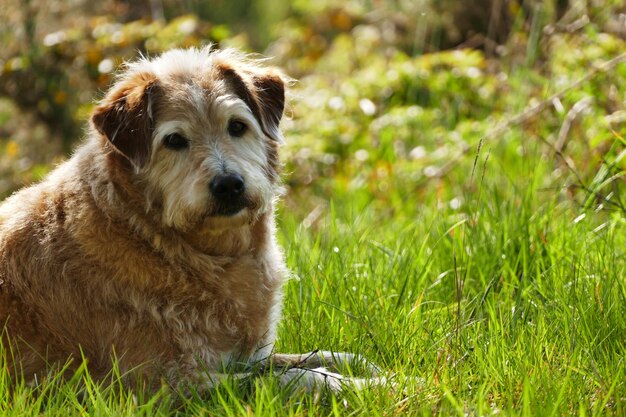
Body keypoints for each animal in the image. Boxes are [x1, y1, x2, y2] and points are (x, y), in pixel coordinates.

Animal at [0, 46, 380, 394]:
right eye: (174, 140)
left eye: (237, 126)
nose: (228, 185)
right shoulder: (156, 384)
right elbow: (291, 379)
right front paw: (375, 386)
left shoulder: (240, 357)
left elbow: (308, 358)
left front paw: (363, 364)